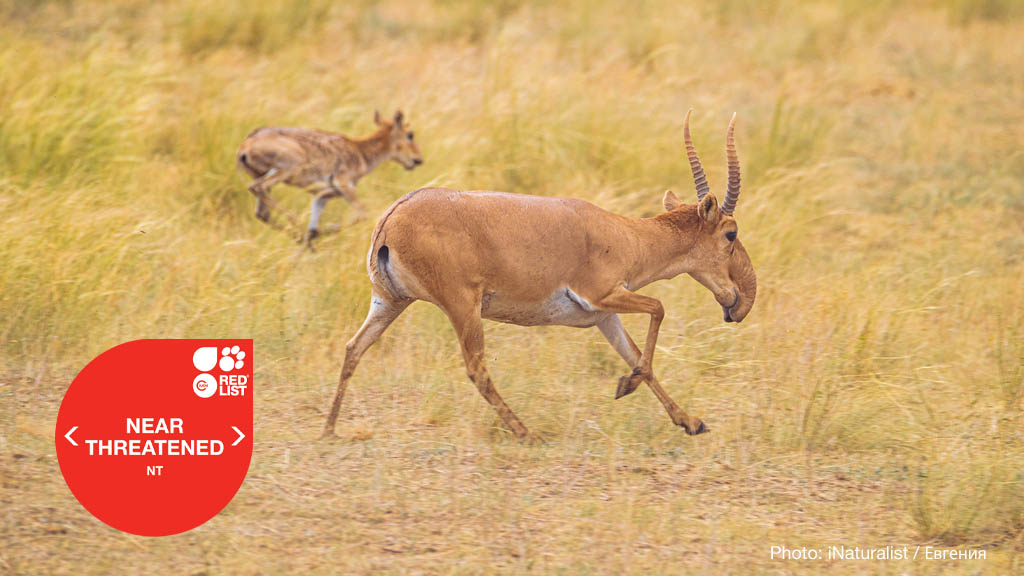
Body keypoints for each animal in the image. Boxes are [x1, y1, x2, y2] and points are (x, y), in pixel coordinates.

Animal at [237, 109, 421, 243]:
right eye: (410, 134)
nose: (418, 160)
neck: (360, 152)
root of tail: (245, 147)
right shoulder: (344, 186)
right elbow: (363, 213)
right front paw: (326, 229)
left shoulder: (323, 195)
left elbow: (314, 223)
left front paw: (314, 236)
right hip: (288, 168)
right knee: (258, 187)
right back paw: (296, 222)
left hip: (262, 174)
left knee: (261, 211)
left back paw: (299, 235)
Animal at [323, 111, 757, 434]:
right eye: (731, 233)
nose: (739, 303)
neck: (625, 234)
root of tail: (392, 218)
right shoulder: (603, 294)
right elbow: (658, 310)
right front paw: (626, 386)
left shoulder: (605, 316)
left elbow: (635, 353)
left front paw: (691, 422)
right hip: (462, 307)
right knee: (476, 368)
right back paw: (525, 432)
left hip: (389, 302)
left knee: (353, 349)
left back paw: (329, 429)